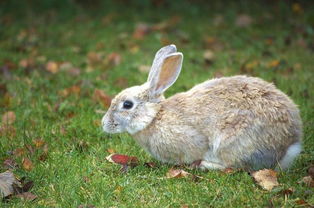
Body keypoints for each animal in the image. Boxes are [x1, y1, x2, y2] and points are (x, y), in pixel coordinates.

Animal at [100, 44, 302, 171]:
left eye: (127, 104)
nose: (104, 123)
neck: (155, 117)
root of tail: (290, 144)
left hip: (234, 143)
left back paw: (206, 165)